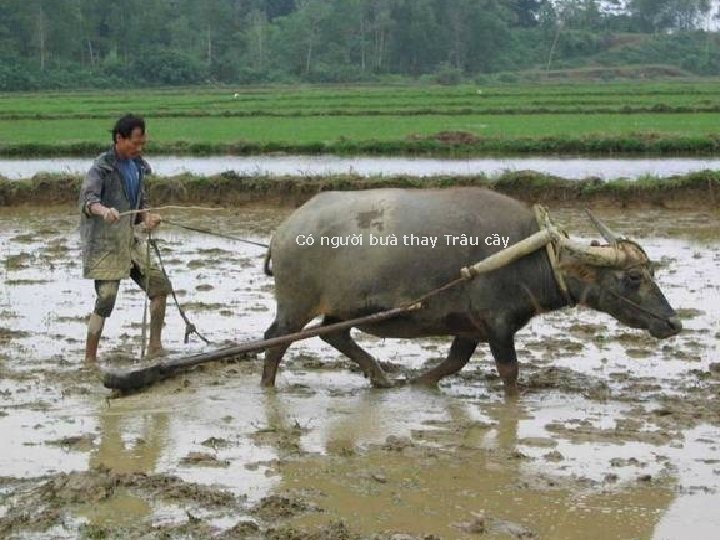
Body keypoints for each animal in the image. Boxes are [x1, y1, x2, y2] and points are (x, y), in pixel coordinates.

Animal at [262, 188, 676, 390]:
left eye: (652, 271)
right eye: (633, 278)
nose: (674, 323)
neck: (528, 255)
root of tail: (285, 229)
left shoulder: (470, 327)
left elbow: (453, 362)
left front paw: (418, 384)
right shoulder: (498, 324)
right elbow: (509, 372)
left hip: (341, 307)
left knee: (335, 334)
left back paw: (379, 377)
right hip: (295, 305)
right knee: (276, 340)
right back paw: (267, 386)